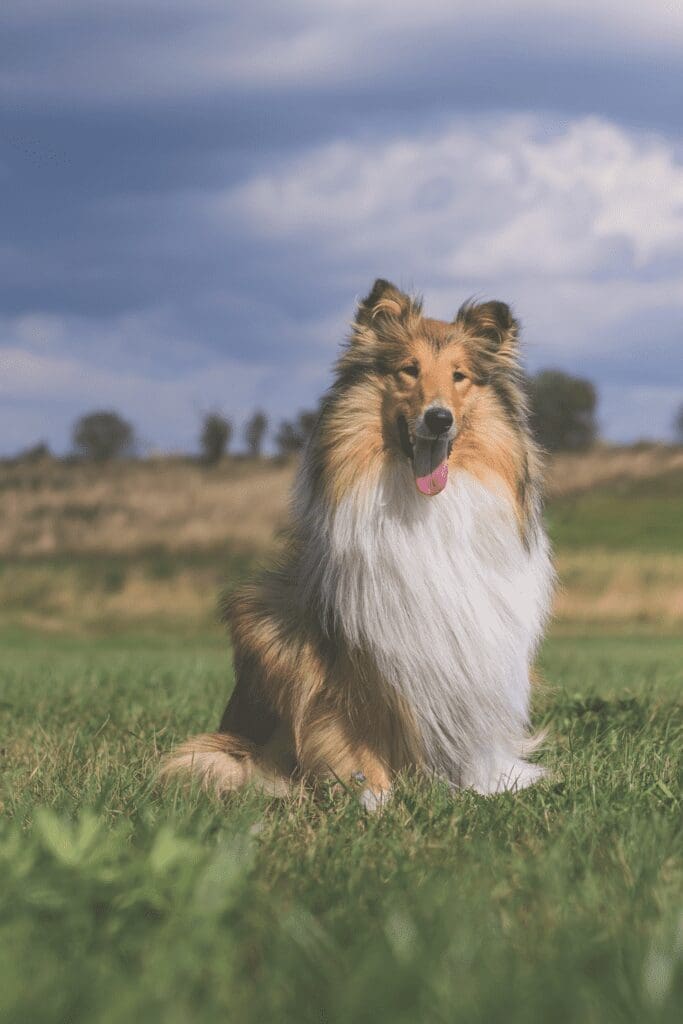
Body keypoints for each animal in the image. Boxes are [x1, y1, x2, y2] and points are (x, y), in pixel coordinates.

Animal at [163, 280, 557, 806]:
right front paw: (375, 801)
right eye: (409, 369)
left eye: (460, 376)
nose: (439, 419)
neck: (425, 506)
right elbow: (351, 733)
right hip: (260, 626)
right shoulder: (351, 657)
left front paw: (486, 787)